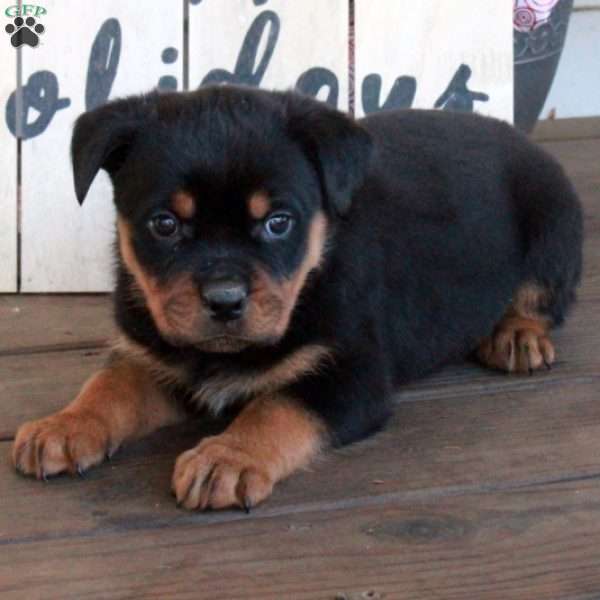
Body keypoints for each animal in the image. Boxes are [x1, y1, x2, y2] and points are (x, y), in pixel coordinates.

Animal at [10, 85, 580, 510]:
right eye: (165, 224)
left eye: (278, 222)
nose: (224, 300)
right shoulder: (155, 357)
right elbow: (110, 383)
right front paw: (64, 425)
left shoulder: (349, 374)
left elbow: (277, 405)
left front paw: (229, 457)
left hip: (554, 217)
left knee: (543, 293)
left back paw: (516, 335)